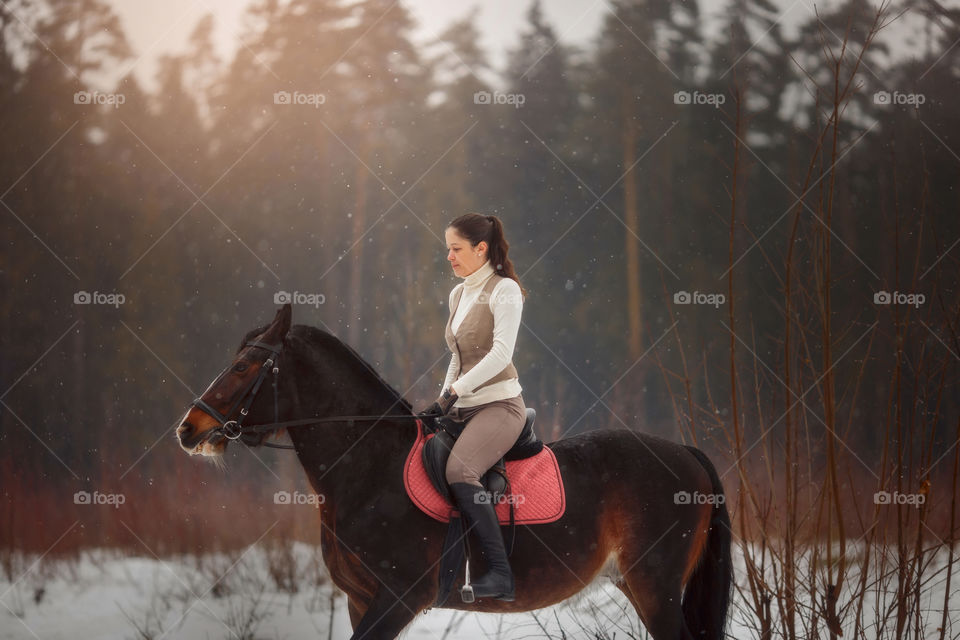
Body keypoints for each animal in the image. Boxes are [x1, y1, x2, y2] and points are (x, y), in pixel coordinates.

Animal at [176, 306, 732, 640]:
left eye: (244, 367)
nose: (188, 428)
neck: (369, 467)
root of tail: (687, 454)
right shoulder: (360, 599)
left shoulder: (398, 598)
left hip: (656, 586)